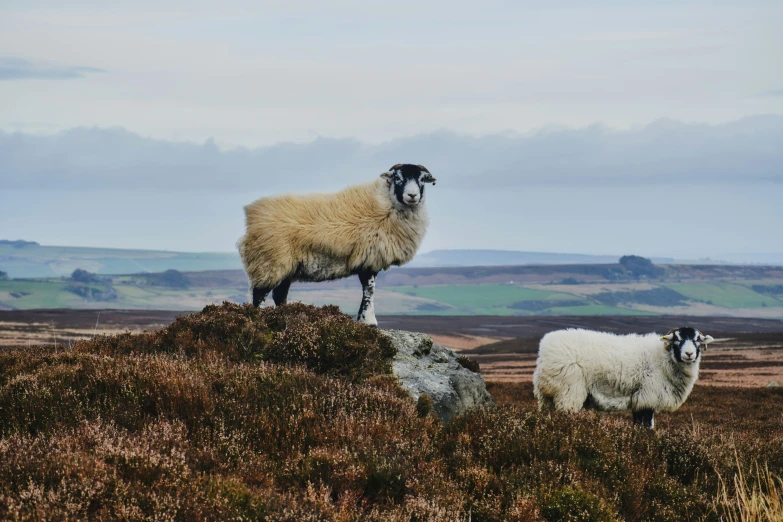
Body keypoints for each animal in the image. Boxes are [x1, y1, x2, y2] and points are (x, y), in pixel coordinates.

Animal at [236, 164, 438, 324]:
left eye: (422, 180)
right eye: (398, 178)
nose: (412, 195)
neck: (386, 205)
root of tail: (252, 214)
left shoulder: (368, 259)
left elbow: (368, 290)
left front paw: (364, 320)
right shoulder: (369, 258)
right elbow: (369, 290)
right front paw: (369, 322)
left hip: (286, 267)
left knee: (279, 295)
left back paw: (284, 317)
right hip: (269, 261)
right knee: (259, 294)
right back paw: (259, 320)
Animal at [532, 324, 716, 426]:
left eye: (697, 340)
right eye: (677, 339)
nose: (689, 354)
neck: (664, 358)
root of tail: (545, 349)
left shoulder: (639, 399)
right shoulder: (648, 397)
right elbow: (647, 426)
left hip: (547, 396)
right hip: (568, 392)